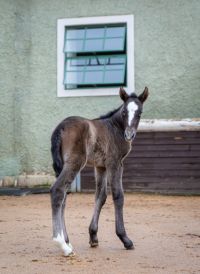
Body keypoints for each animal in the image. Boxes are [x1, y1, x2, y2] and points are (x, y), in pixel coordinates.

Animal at [50, 86, 148, 256]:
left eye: (140, 113)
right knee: (58, 191)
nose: (129, 135)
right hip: (75, 163)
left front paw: (93, 236)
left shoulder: (100, 166)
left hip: (62, 165)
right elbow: (118, 195)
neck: (115, 128)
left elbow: (100, 196)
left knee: (63, 197)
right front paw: (125, 239)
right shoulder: (115, 163)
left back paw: (67, 241)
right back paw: (62, 244)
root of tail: (60, 128)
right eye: (124, 112)